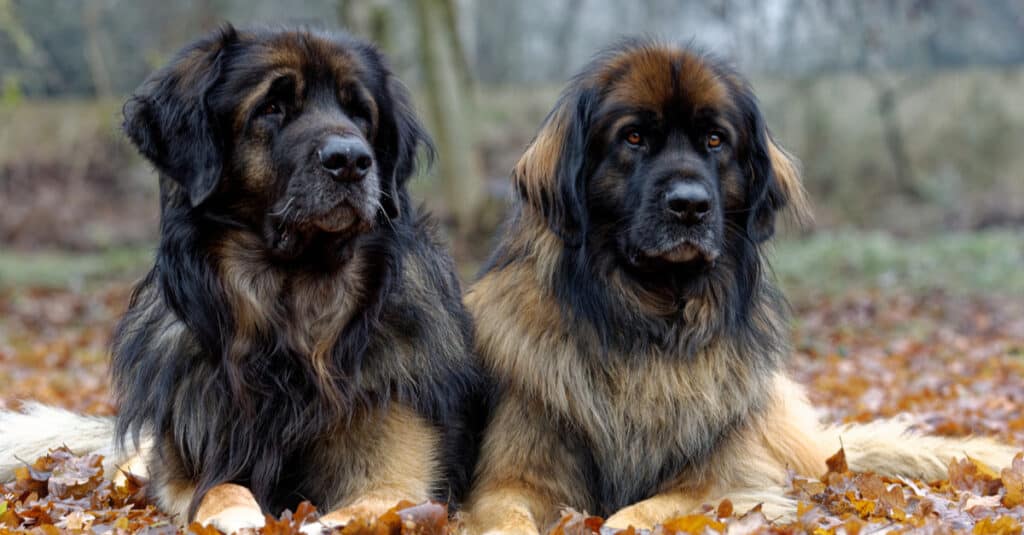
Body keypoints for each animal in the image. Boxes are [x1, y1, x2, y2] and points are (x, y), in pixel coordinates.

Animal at [1, 26, 483, 532]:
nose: (351, 160)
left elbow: (360, 506)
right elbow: (218, 490)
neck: (289, 316)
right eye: (271, 107)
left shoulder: (399, 473)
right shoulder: (189, 463)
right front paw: (240, 516)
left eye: (359, 113)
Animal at [460, 39, 1019, 528]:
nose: (689, 206)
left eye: (715, 140)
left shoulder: (728, 479)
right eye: (633, 137)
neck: (651, 322)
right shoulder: (510, 479)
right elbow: (508, 515)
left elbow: (642, 511)